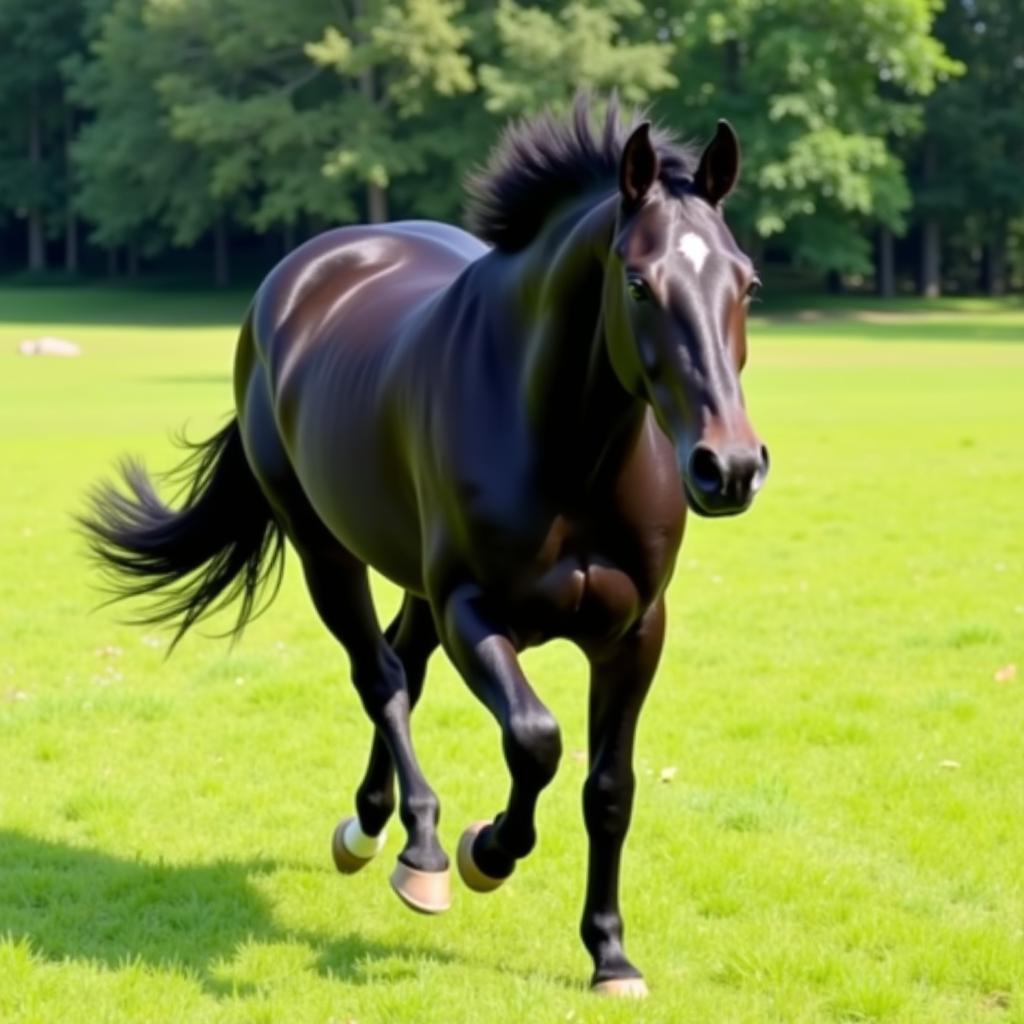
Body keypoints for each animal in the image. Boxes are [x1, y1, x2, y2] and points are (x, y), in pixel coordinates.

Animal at [83, 99, 770, 995]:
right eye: (638, 282)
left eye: (746, 282)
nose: (730, 467)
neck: (568, 452)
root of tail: (309, 269)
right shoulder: (472, 611)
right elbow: (536, 739)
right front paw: (486, 851)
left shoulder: (634, 633)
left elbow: (609, 788)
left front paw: (611, 955)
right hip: (327, 552)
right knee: (380, 676)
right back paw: (419, 851)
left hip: (410, 576)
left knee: (402, 665)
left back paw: (373, 825)